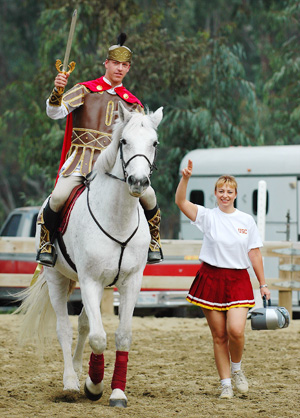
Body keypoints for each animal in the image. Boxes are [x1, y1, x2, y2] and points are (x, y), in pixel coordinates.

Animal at [17, 103, 162, 408]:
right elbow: (98, 337)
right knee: (65, 328)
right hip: (57, 278)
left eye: (154, 143)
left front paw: (117, 392)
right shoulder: (91, 280)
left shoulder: (130, 281)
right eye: (123, 141)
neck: (117, 218)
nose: (139, 182)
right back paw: (71, 382)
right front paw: (93, 385)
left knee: (83, 324)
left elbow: (122, 336)